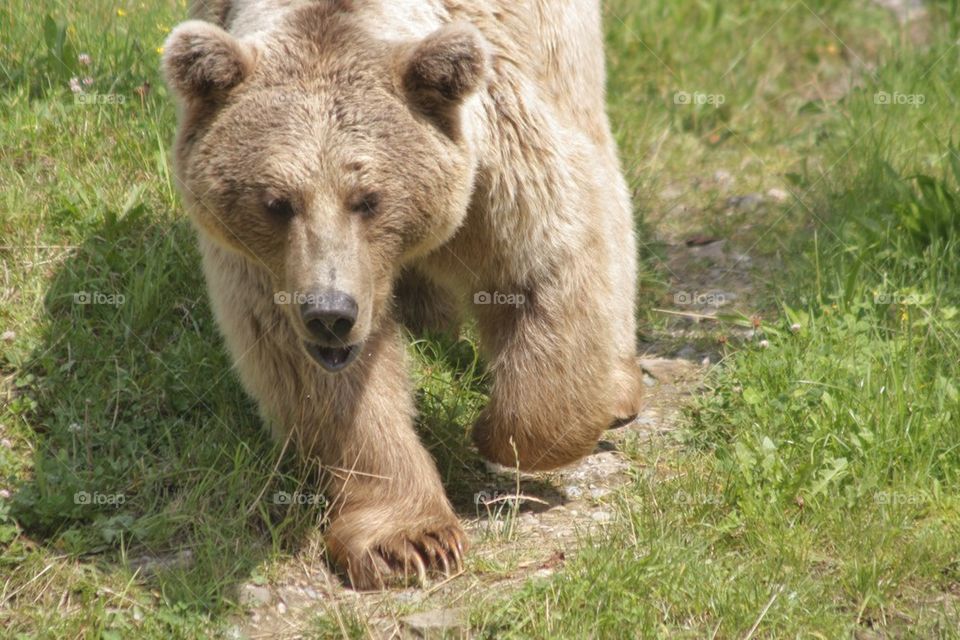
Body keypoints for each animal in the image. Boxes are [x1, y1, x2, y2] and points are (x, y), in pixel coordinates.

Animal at [162, 0, 643, 590]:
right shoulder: (266, 269)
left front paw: (492, 431)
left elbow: (544, 262)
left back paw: (616, 387)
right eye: (277, 201)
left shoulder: (498, 154)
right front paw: (410, 541)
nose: (330, 313)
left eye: (368, 198)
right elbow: (323, 381)